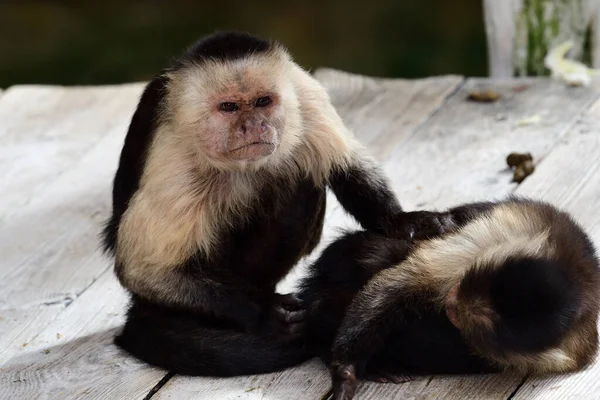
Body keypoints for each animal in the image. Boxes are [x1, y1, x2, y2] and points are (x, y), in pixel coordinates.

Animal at [99, 30, 446, 376]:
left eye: (262, 102)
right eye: (228, 107)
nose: (253, 125)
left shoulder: (304, 94)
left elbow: (345, 164)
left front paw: (402, 221)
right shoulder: (175, 151)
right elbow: (147, 270)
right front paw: (264, 314)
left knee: (300, 179)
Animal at [300, 198, 600, 400]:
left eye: (468, 322)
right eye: (469, 284)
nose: (453, 306)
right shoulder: (495, 234)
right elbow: (402, 282)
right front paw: (346, 371)